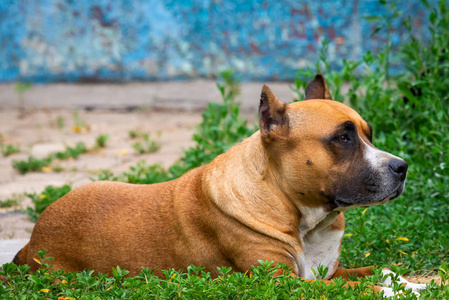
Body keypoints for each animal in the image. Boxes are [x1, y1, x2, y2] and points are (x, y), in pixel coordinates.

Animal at [13, 74, 424, 296]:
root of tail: (32, 238)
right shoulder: (282, 283)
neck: (305, 219)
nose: (402, 167)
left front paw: (414, 285)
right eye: (342, 138)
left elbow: (379, 271)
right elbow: (362, 288)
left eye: (369, 134)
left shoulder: (326, 273)